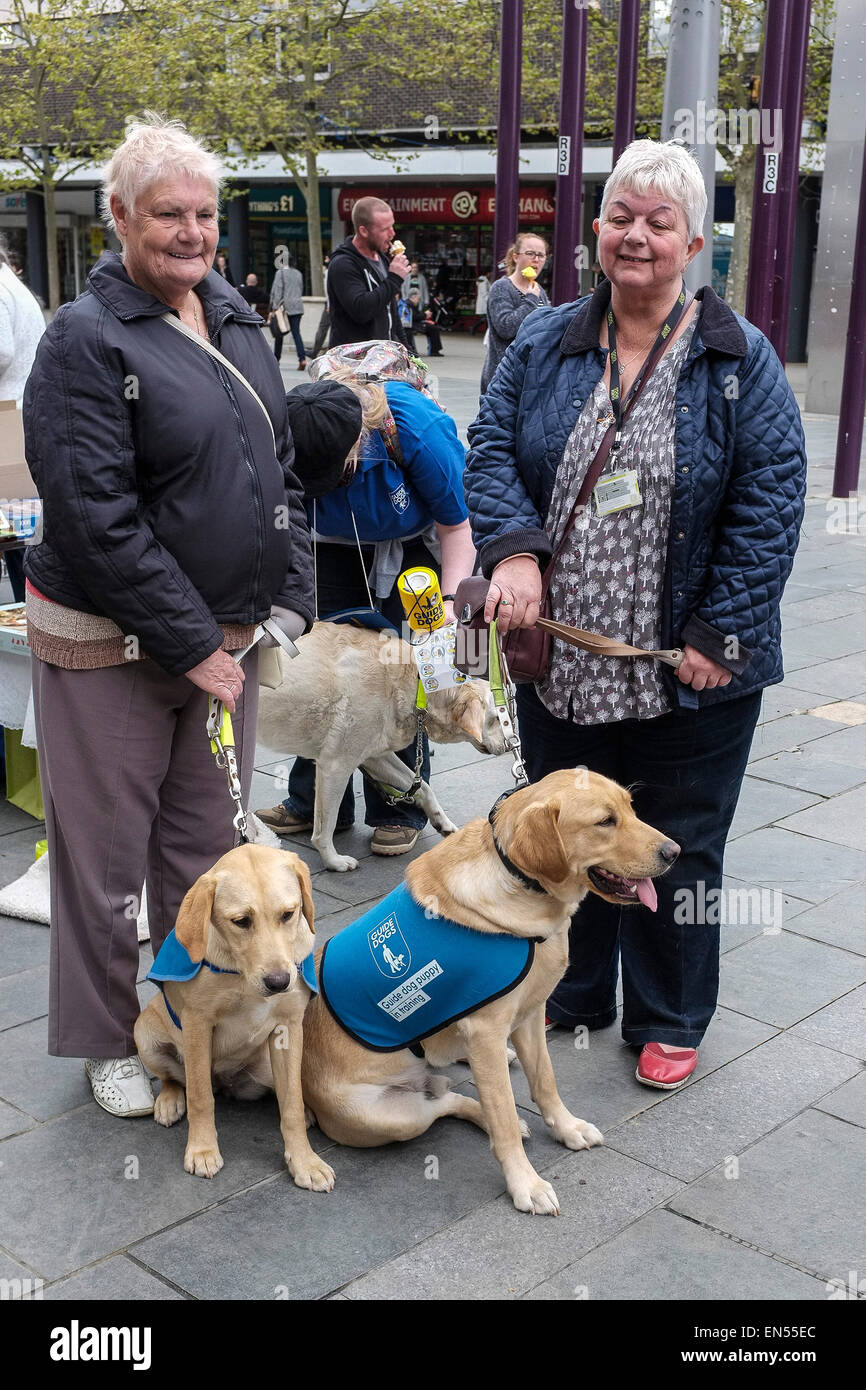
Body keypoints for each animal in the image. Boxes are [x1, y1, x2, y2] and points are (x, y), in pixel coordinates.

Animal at [135, 839, 335, 1189]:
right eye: (241, 921)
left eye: (288, 914)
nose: (279, 982)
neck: (240, 975)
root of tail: (226, 1082)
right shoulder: (197, 1024)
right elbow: (199, 1096)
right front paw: (202, 1150)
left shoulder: (288, 1028)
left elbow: (291, 1104)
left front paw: (304, 1161)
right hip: (144, 1033)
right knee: (175, 1079)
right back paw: (170, 1101)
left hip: (267, 1062)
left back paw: (310, 1112)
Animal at [254, 625, 508, 872]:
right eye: (496, 718)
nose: (509, 745)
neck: (413, 681)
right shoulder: (336, 766)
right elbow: (326, 827)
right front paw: (333, 861)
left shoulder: (374, 757)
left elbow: (423, 788)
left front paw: (443, 823)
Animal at [301, 772, 681, 1217]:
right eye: (605, 821)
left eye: (630, 808)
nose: (675, 851)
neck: (522, 886)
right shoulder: (485, 1031)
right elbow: (503, 1117)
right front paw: (526, 1184)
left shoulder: (531, 1016)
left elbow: (545, 1081)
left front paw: (566, 1127)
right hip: (387, 1116)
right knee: (444, 1102)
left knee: (449, 1090)